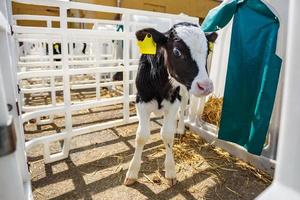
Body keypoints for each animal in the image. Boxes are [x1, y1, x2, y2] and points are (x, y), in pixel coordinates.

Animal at [123, 22, 217, 187]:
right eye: (177, 51)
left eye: (208, 52)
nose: (206, 86)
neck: (160, 84)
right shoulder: (141, 101)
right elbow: (141, 136)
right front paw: (132, 172)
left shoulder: (174, 101)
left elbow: (167, 135)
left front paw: (171, 171)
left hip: (184, 92)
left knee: (182, 110)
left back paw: (179, 129)